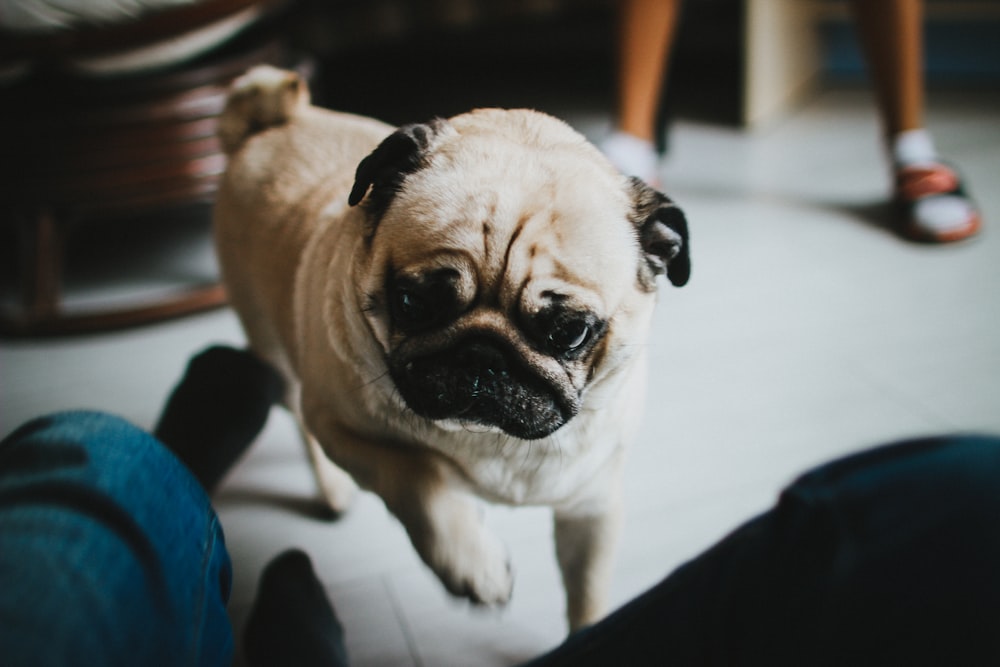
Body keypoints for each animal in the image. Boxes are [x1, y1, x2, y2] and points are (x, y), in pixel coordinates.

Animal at [215, 65, 688, 628]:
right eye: (413, 302)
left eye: (570, 330)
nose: (483, 354)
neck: (492, 445)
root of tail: (269, 122)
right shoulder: (341, 428)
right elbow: (417, 478)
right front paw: (474, 565)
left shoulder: (590, 510)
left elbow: (587, 600)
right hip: (279, 358)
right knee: (301, 419)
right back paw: (333, 491)